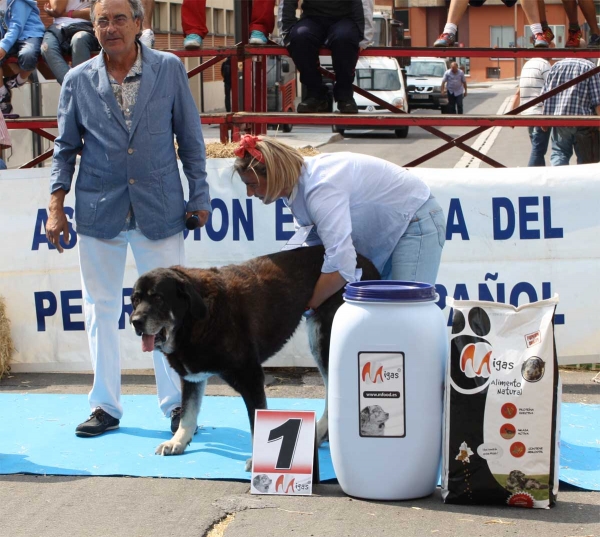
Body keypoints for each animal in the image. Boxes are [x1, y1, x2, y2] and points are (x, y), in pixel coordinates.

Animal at [130, 243, 380, 464]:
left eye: (158, 297)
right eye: (135, 300)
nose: (135, 321)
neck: (195, 320)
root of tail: (366, 262)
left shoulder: (250, 376)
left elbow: (255, 422)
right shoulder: (192, 377)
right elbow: (188, 414)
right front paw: (178, 442)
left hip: (322, 342)